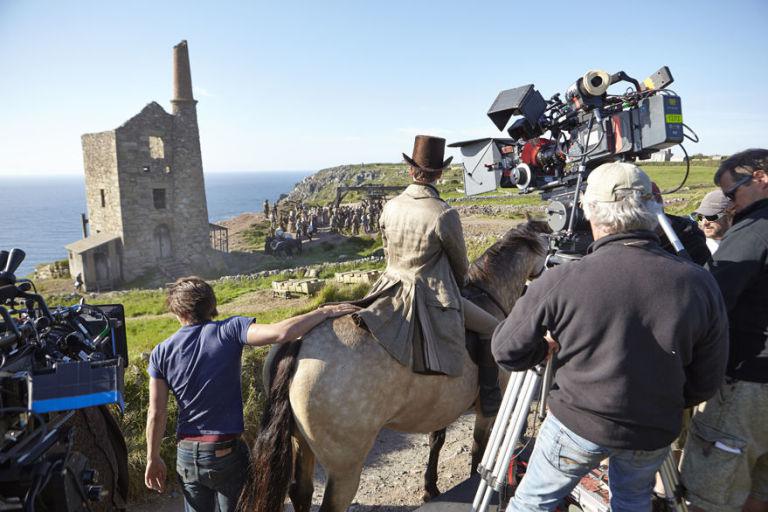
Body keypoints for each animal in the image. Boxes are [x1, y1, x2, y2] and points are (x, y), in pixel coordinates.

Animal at [243, 220, 548, 512]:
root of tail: (299, 341)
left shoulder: (442, 404)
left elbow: (437, 441)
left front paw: (430, 488)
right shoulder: (487, 412)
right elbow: (478, 451)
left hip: (302, 444)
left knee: (301, 492)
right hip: (345, 468)